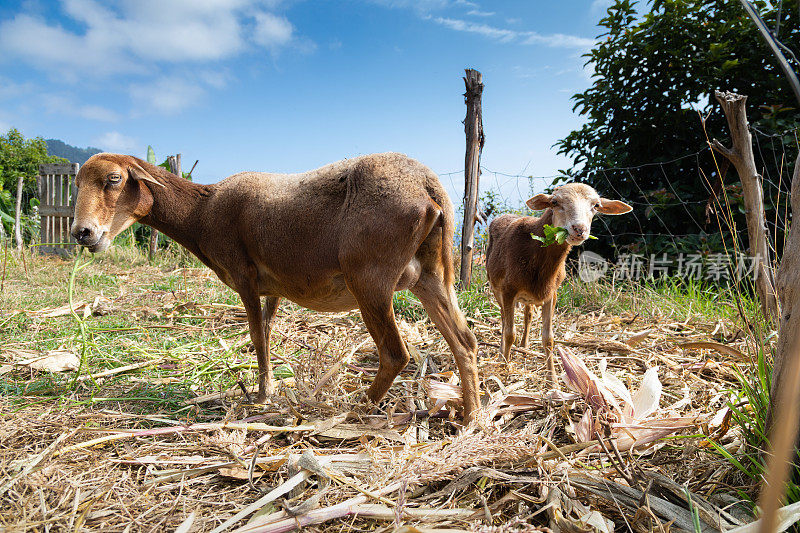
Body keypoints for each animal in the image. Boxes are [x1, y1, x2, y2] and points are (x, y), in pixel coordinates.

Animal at [70, 152, 482, 422]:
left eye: (114, 179)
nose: (82, 233)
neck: (201, 213)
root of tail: (428, 186)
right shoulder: (273, 289)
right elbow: (267, 333)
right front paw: (264, 389)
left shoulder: (243, 277)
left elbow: (256, 336)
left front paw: (262, 397)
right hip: (431, 275)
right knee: (464, 340)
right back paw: (471, 415)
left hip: (370, 276)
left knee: (395, 353)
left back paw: (358, 408)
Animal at [484, 183, 636, 382]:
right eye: (555, 202)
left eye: (596, 205)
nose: (579, 229)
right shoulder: (508, 290)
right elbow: (510, 334)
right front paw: (503, 370)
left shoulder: (551, 293)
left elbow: (548, 338)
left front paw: (553, 379)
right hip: (496, 287)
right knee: (503, 319)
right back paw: (503, 352)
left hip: (527, 297)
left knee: (528, 315)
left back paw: (524, 346)